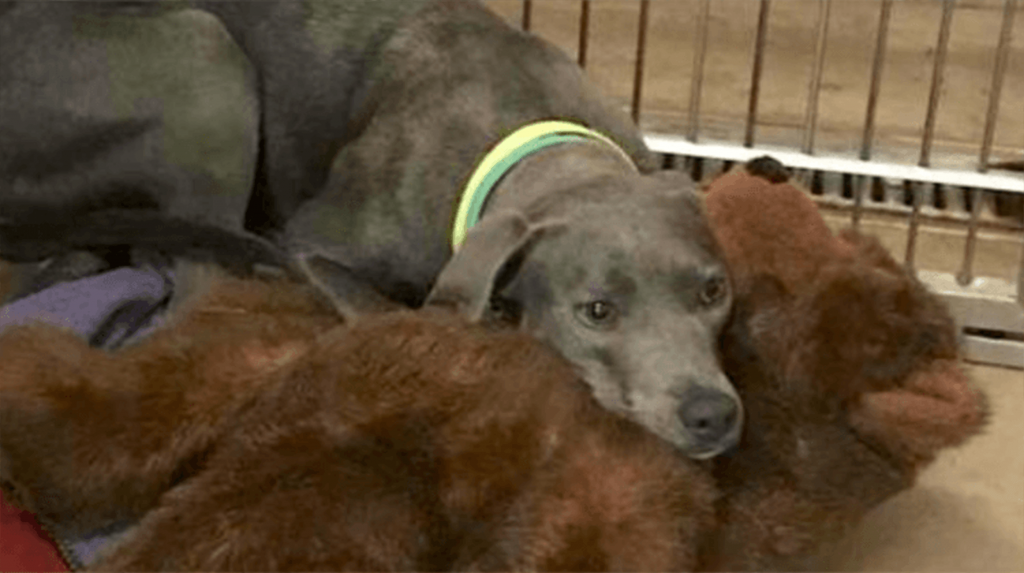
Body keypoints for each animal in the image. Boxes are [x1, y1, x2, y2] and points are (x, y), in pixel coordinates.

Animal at [4, 0, 749, 456]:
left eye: (714, 292)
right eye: (597, 311)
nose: (712, 413)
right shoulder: (312, 242)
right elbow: (388, 312)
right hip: (202, 60)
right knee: (192, 284)